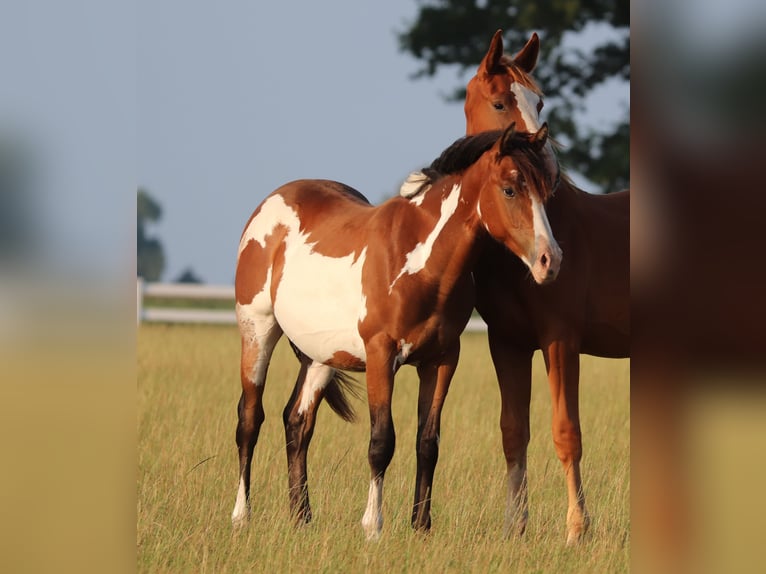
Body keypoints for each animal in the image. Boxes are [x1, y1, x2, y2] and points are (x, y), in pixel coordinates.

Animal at [231, 122, 563, 541]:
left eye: (546, 191)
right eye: (510, 189)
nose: (550, 261)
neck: (418, 263)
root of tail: (271, 203)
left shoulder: (441, 361)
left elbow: (428, 442)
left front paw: (421, 526)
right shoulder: (380, 356)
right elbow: (381, 441)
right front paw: (373, 526)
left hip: (320, 356)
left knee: (298, 422)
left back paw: (301, 517)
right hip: (257, 331)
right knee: (249, 419)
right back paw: (241, 516)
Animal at [407, 30, 630, 545]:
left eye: (539, 101)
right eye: (499, 101)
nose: (543, 165)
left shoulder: (561, 340)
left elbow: (566, 433)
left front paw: (577, 529)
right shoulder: (506, 343)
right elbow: (513, 431)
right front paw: (516, 526)